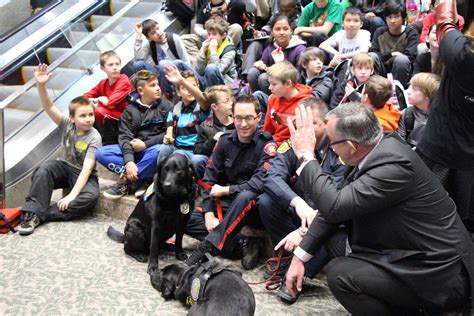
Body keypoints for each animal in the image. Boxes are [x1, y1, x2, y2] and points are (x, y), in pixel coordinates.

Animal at [107, 153, 196, 288]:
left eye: (178, 170)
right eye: (165, 169)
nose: (167, 185)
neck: (175, 199)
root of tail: (125, 236)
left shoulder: (183, 221)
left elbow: (179, 240)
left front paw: (179, 253)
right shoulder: (156, 223)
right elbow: (153, 248)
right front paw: (153, 267)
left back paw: (169, 246)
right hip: (136, 230)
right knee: (127, 248)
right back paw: (139, 255)